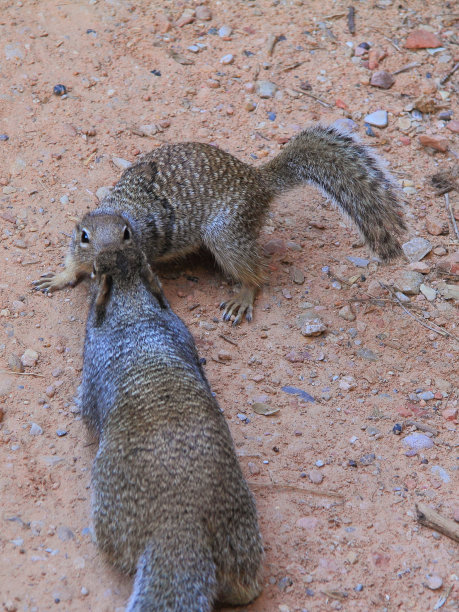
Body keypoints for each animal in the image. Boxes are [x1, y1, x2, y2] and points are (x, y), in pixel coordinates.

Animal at [36, 124, 410, 326]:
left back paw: (242, 296)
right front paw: (57, 278)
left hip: (227, 233)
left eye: (127, 235)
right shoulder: (78, 248)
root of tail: (260, 182)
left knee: (256, 273)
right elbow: (72, 265)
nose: (108, 259)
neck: (121, 209)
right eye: (85, 236)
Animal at [79, 244, 264, 612]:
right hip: (239, 532)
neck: (134, 313)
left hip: (110, 511)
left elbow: (87, 410)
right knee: (243, 581)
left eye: (95, 273)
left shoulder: (92, 364)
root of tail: (180, 526)